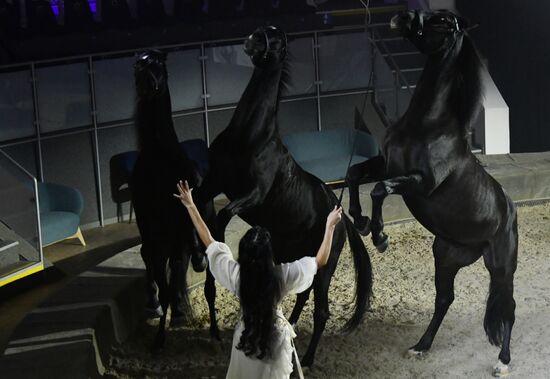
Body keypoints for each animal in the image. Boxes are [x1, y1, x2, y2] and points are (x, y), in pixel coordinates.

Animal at [132, 50, 213, 350]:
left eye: (159, 64)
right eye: (140, 64)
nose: (147, 82)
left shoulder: (174, 225)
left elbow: (174, 262)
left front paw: (175, 310)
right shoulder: (148, 224)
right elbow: (156, 261)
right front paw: (160, 305)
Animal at [195, 26, 376, 368]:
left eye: (275, 39)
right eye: (259, 30)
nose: (250, 43)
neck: (250, 136)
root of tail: (341, 215)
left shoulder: (252, 195)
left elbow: (222, 217)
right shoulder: (214, 182)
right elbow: (199, 206)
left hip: (325, 267)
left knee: (321, 311)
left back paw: (308, 357)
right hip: (294, 255)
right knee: (301, 293)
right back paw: (288, 329)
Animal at [348, 11, 520, 378]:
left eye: (442, 21)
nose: (400, 17)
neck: (428, 125)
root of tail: (509, 207)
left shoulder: (420, 182)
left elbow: (381, 190)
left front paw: (380, 236)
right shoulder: (386, 164)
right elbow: (355, 174)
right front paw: (361, 220)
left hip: (501, 267)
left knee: (507, 307)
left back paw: (502, 362)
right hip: (446, 257)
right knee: (444, 300)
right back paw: (421, 346)